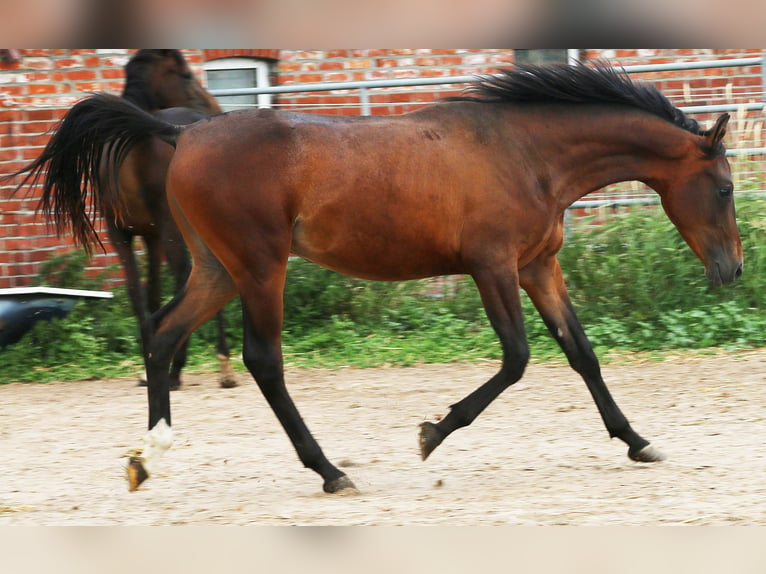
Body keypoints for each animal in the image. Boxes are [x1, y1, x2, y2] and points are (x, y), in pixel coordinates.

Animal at [12, 63, 744, 496]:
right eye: (727, 188)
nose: (732, 270)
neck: (525, 153)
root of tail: (179, 133)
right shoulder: (493, 267)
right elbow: (516, 359)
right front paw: (431, 434)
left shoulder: (539, 265)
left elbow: (582, 353)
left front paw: (639, 443)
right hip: (259, 266)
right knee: (262, 360)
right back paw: (330, 471)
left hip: (216, 269)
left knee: (162, 333)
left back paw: (150, 457)